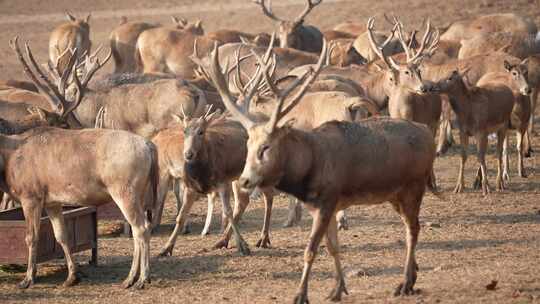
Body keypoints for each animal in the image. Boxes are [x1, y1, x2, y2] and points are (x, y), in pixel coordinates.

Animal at [5, 37, 158, 290]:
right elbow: (60, 235)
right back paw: (134, 277)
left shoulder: (32, 196)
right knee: (143, 225)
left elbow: (33, 236)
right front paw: (71, 276)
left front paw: (28, 279)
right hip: (141, 192)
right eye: (64, 123)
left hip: (124, 190)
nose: (83, 129)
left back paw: (137, 279)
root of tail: (149, 146)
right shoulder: (52, 200)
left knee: (141, 228)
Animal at [198, 33, 434, 302]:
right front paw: (338, 288)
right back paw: (412, 275)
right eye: (248, 143)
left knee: (413, 229)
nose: (246, 180)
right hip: (396, 195)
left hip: (414, 188)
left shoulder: (327, 202)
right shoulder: (323, 206)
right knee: (410, 227)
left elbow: (311, 249)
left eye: (266, 147)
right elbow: (332, 246)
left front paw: (300, 294)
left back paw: (405, 282)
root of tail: (427, 133)